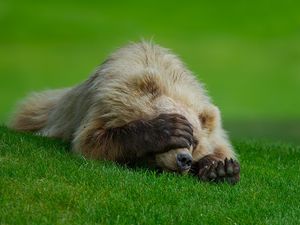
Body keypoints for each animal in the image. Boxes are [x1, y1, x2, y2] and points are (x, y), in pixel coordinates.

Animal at [9, 41, 241, 184]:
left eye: (195, 141)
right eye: (184, 134)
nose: (184, 159)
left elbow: (221, 149)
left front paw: (221, 169)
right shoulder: (106, 103)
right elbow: (91, 140)